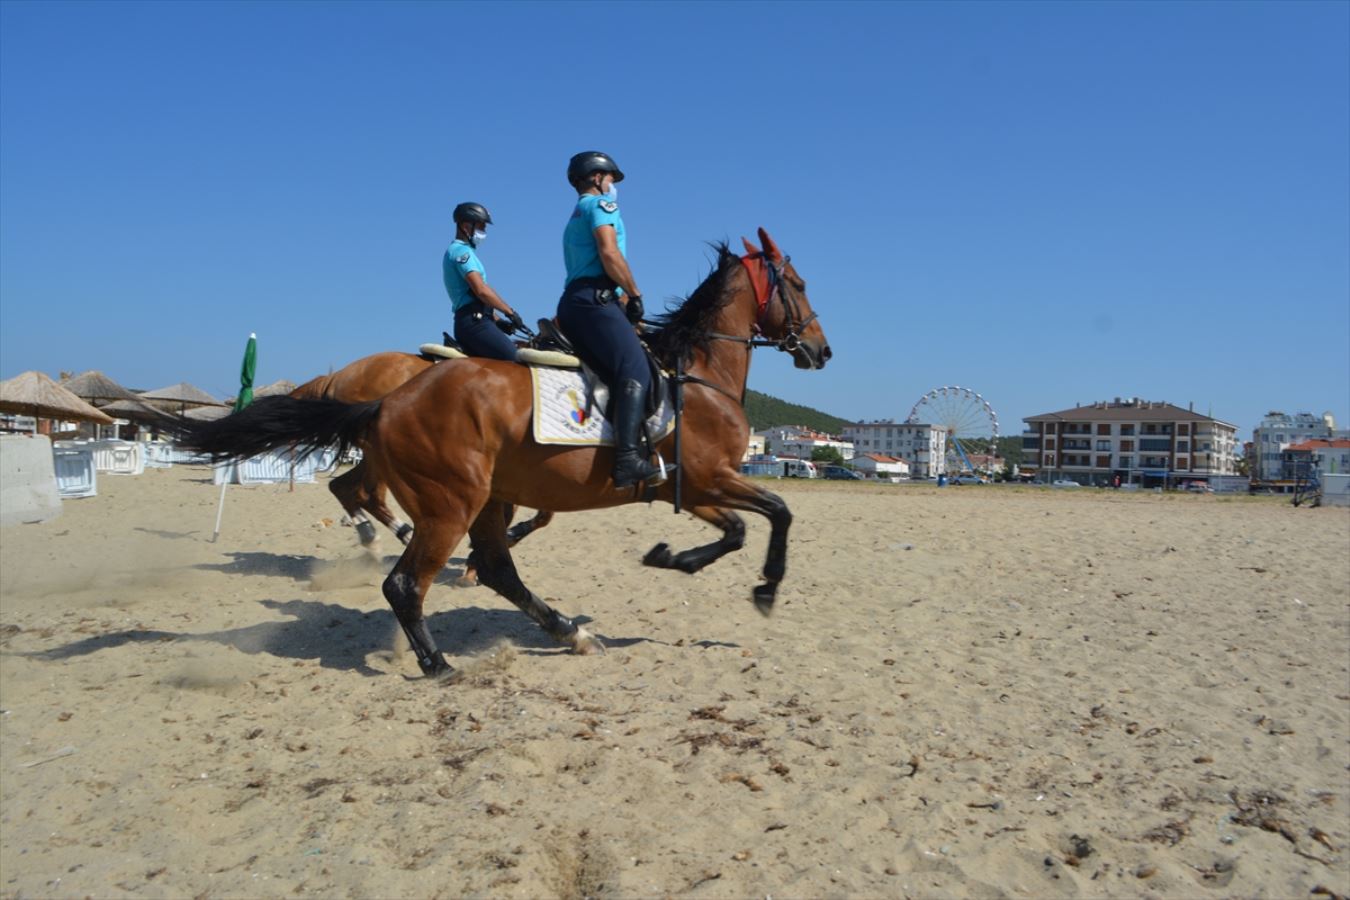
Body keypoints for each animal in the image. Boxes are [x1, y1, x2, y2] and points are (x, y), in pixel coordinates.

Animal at [174, 229, 826, 680]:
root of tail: (386, 401)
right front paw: (763, 588)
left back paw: (567, 631)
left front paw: (672, 557)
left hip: (484, 495)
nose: (823, 351)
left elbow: (741, 528)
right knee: (405, 580)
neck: (699, 374)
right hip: (451, 502)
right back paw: (438, 662)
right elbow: (776, 513)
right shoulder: (709, 477)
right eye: (797, 285)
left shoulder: (688, 486)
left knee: (489, 565)